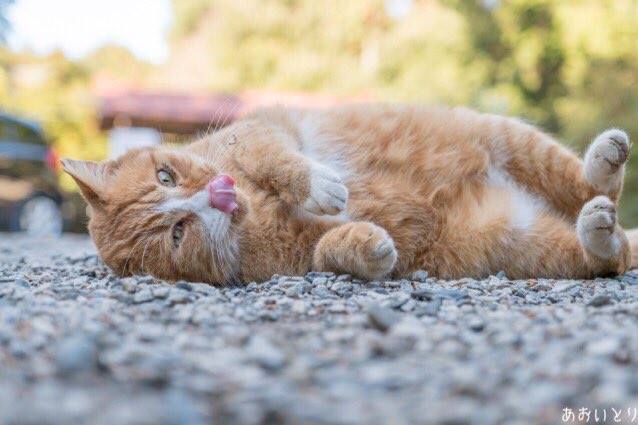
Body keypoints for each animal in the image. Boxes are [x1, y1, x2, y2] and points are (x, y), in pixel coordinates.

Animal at [62, 104, 637, 284]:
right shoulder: (299, 263)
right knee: (610, 254)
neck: (254, 213)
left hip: (508, 140)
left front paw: (318, 185)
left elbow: (277, 158)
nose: (219, 194)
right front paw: (368, 246)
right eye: (178, 234)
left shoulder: (260, 131)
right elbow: (329, 251)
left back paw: (605, 160)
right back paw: (599, 229)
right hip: (519, 242)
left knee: (597, 184)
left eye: (166, 176)